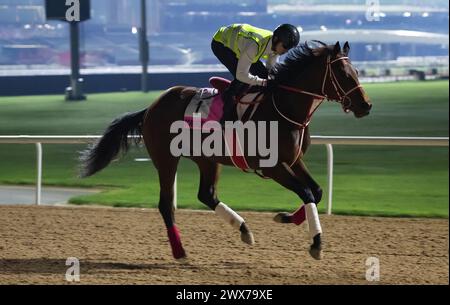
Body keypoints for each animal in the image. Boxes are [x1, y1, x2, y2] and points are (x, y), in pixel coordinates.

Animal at [80, 40, 372, 258]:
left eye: (357, 72)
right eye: (343, 74)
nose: (365, 106)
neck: (284, 107)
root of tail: (152, 106)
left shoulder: (293, 160)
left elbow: (317, 191)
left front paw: (285, 218)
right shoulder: (272, 166)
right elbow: (307, 193)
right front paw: (316, 242)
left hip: (207, 159)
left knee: (206, 195)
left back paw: (243, 229)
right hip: (166, 158)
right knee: (166, 204)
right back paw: (180, 251)